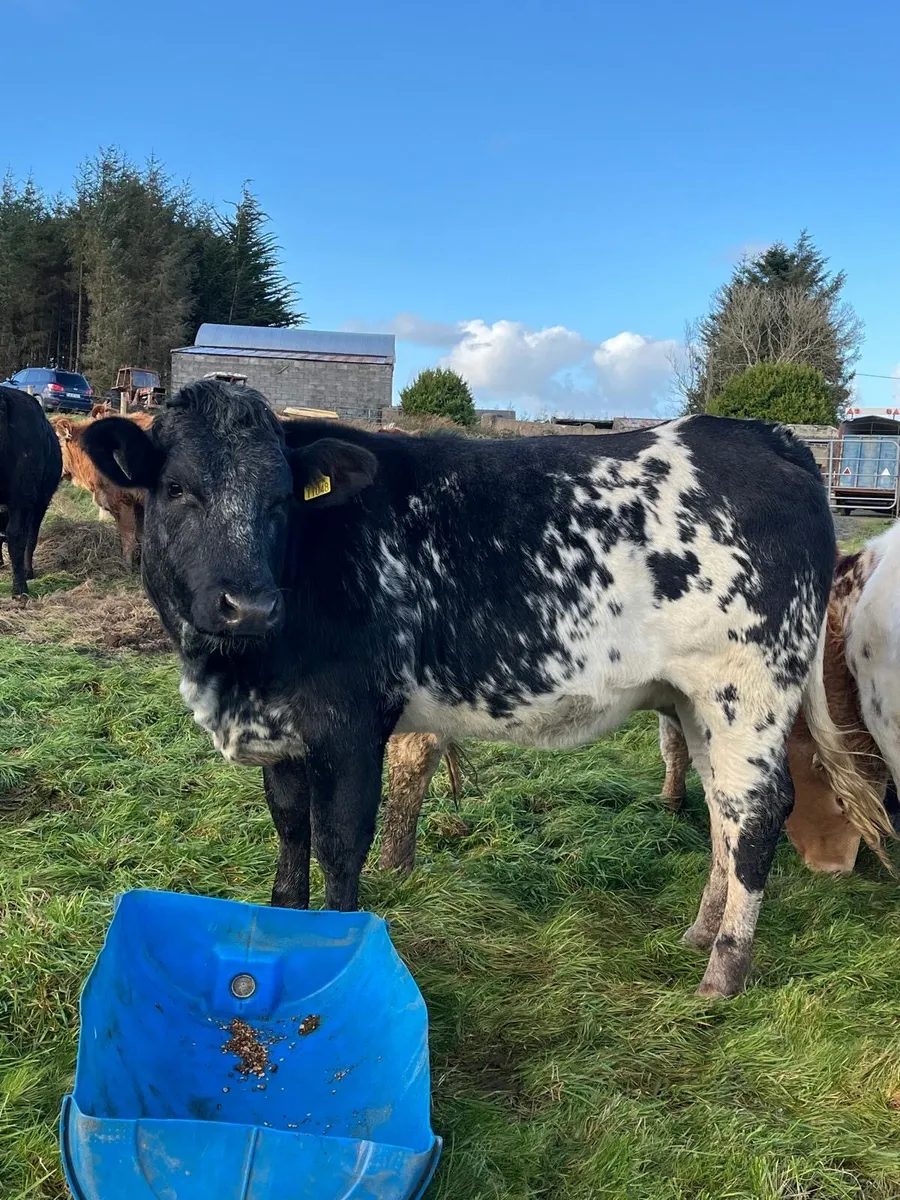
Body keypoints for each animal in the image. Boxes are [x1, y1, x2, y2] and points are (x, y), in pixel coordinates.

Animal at [0, 386, 63, 597]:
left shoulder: (24, 498)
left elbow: (20, 537)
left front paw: (20, 585)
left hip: (35, 501)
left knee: (26, 536)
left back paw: (25, 576)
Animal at [81, 381, 893, 998]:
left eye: (282, 498)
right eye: (178, 489)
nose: (248, 605)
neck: (239, 671)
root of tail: (769, 440)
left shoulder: (349, 726)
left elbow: (340, 848)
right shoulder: (281, 736)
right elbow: (291, 847)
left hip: (748, 687)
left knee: (758, 812)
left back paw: (724, 973)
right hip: (697, 704)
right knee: (723, 808)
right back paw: (700, 933)